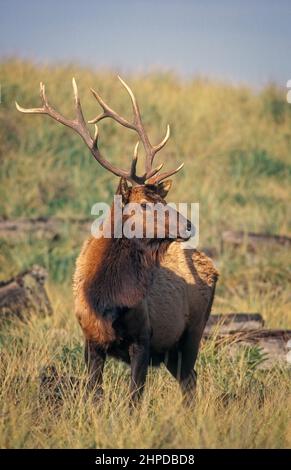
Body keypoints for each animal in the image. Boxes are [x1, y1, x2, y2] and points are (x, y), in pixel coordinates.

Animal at [14, 76, 218, 404]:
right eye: (145, 204)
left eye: (162, 199)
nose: (188, 224)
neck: (106, 302)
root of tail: (212, 267)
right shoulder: (91, 341)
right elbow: (95, 393)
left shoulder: (144, 338)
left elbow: (134, 398)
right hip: (172, 350)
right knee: (190, 379)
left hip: (193, 332)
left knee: (190, 380)